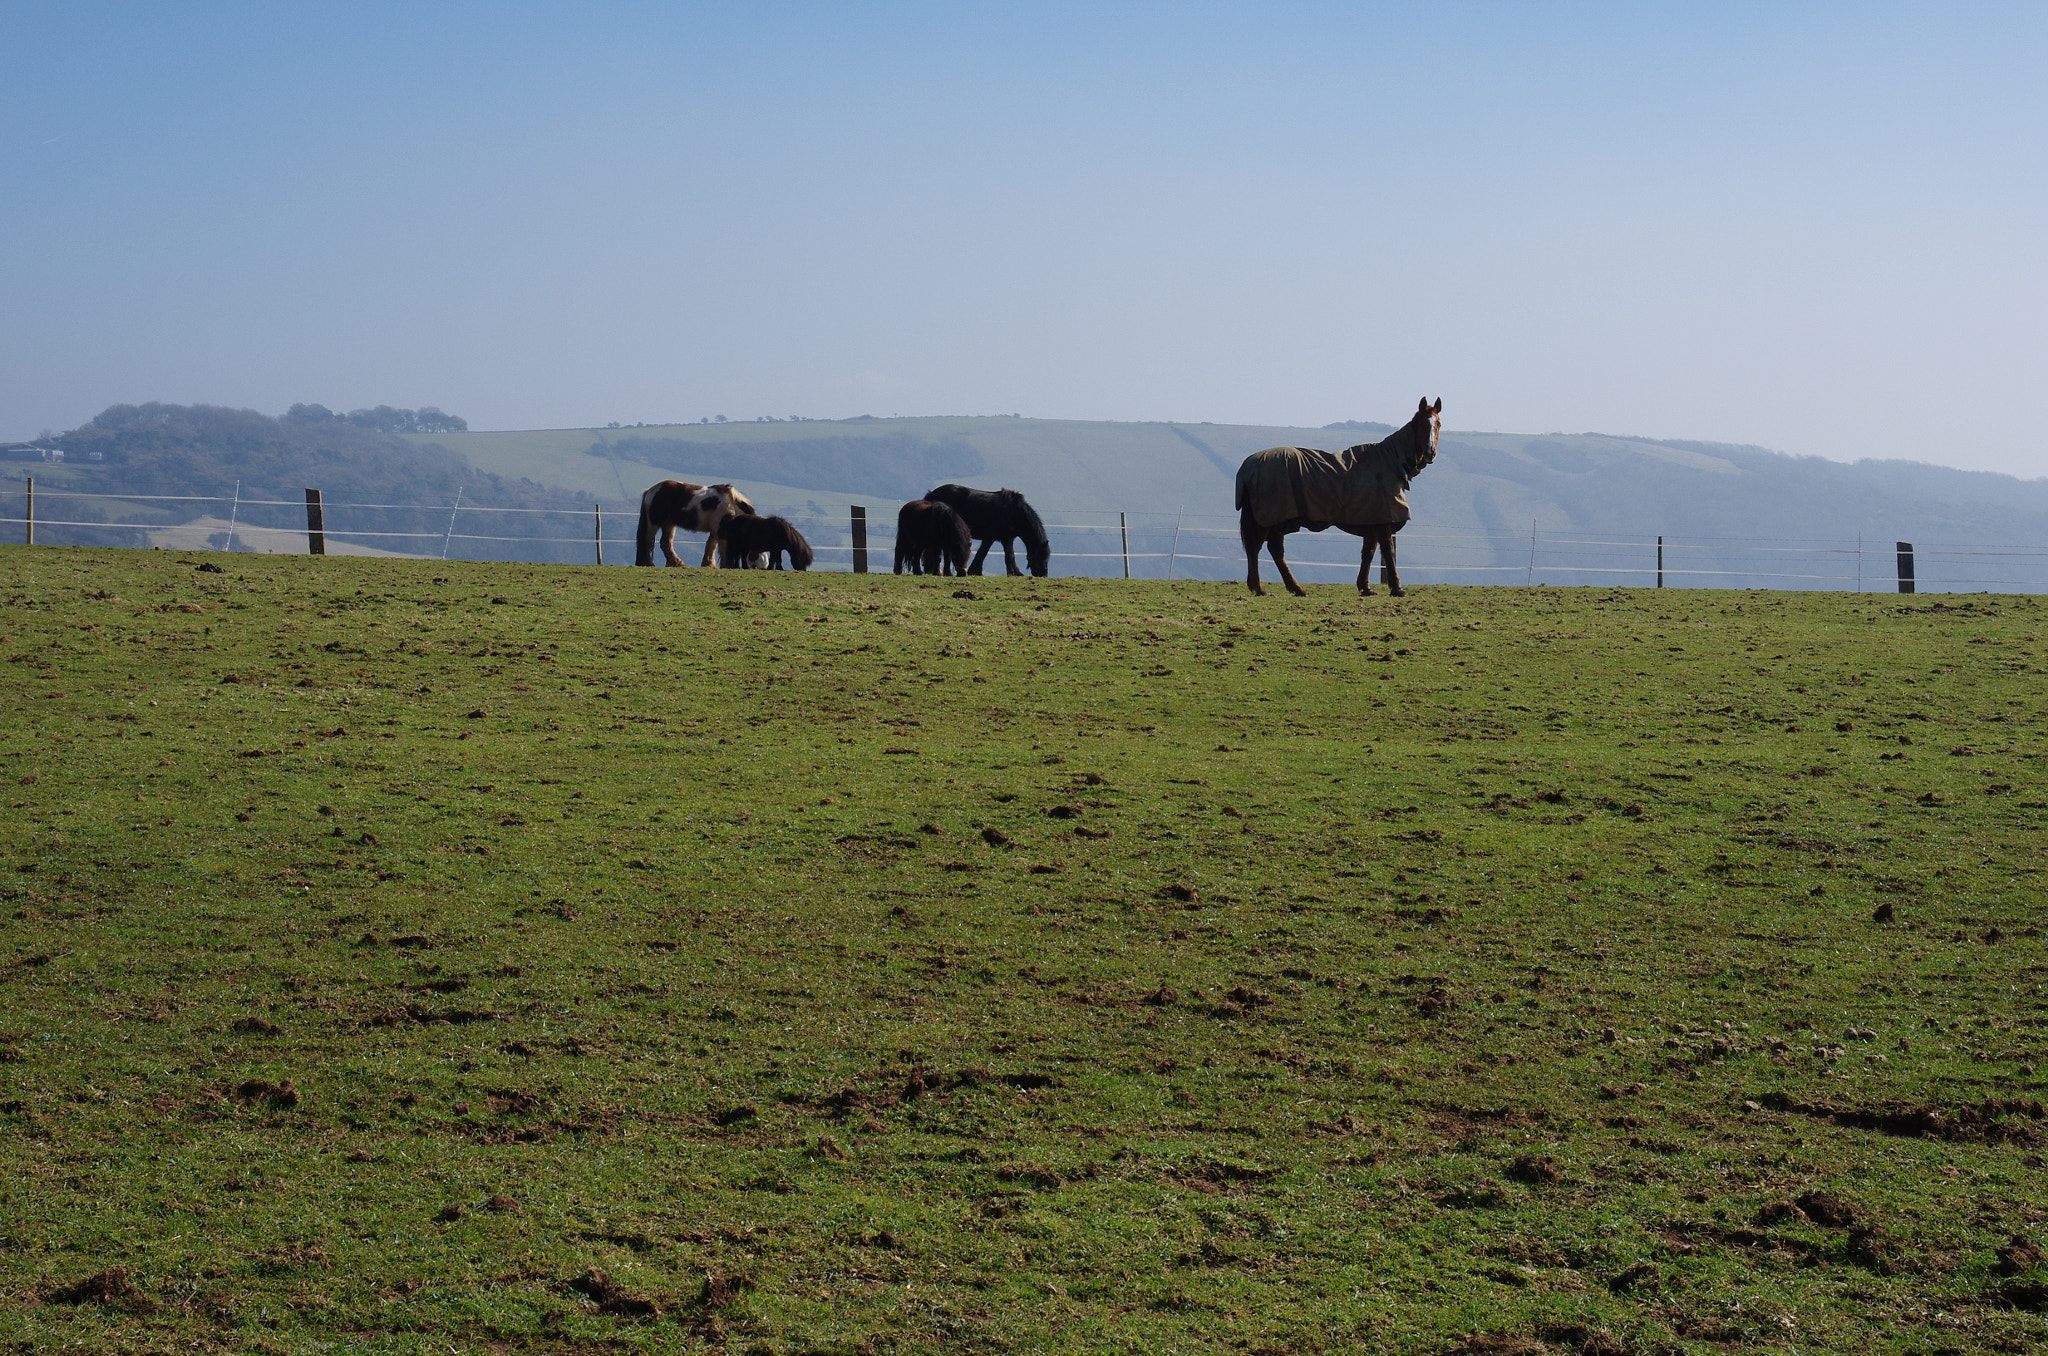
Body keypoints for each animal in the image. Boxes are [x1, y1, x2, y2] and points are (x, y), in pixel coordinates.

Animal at [1228, 399, 1441, 602]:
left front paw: (1365, 587)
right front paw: (1397, 588)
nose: (1430, 453)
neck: (1388, 462)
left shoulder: (1371, 519)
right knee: (1256, 548)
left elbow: (1368, 552)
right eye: (1422, 424)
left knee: (1273, 550)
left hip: (1277, 520)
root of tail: (1248, 466)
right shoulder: (1382, 520)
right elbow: (1388, 551)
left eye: (1438, 423)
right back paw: (1260, 588)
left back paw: (1295, 589)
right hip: (1268, 519)